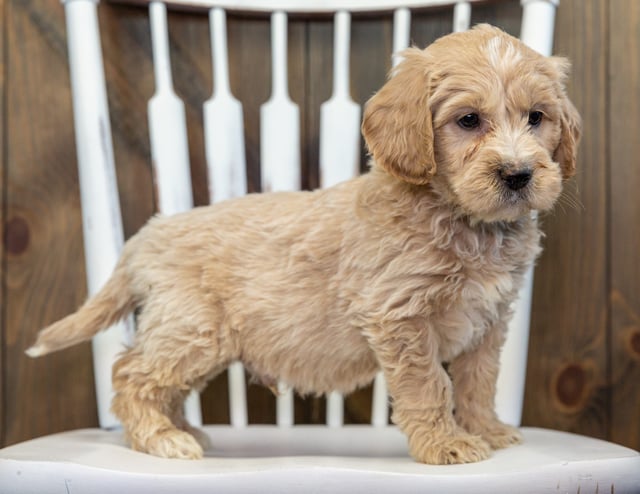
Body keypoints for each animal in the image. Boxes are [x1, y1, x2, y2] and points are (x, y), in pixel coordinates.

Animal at [28, 23, 580, 464]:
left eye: (536, 117)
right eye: (468, 120)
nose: (518, 174)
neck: (466, 221)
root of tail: (146, 235)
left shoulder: (489, 321)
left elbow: (478, 380)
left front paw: (487, 430)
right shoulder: (400, 317)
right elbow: (429, 385)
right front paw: (446, 445)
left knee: (161, 385)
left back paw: (181, 430)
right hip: (191, 331)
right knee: (131, 375)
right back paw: (163, 439)